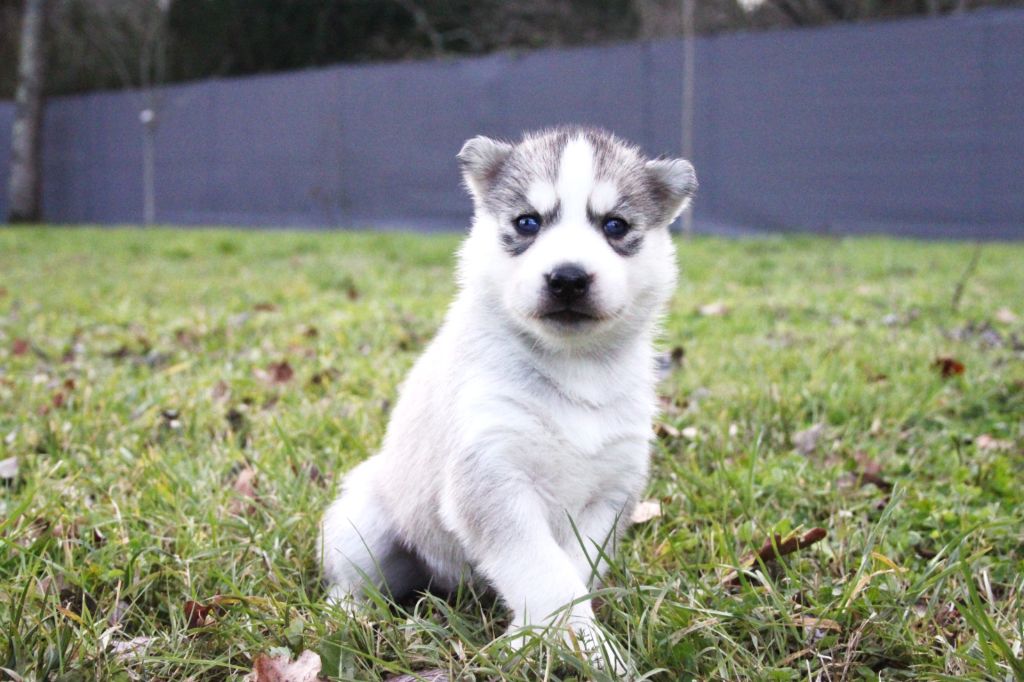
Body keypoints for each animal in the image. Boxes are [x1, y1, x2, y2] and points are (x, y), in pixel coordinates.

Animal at [320, 126, 696, 670]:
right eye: (527, 222)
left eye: (615, 225)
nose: (568, 278)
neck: (574, 367)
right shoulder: (491, 478)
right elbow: (543, 573)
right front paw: (570, 645)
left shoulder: (610, 494)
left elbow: (570, 571)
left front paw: (567, 642)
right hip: (363, 522)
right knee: (354, 581)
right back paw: (344, 615)